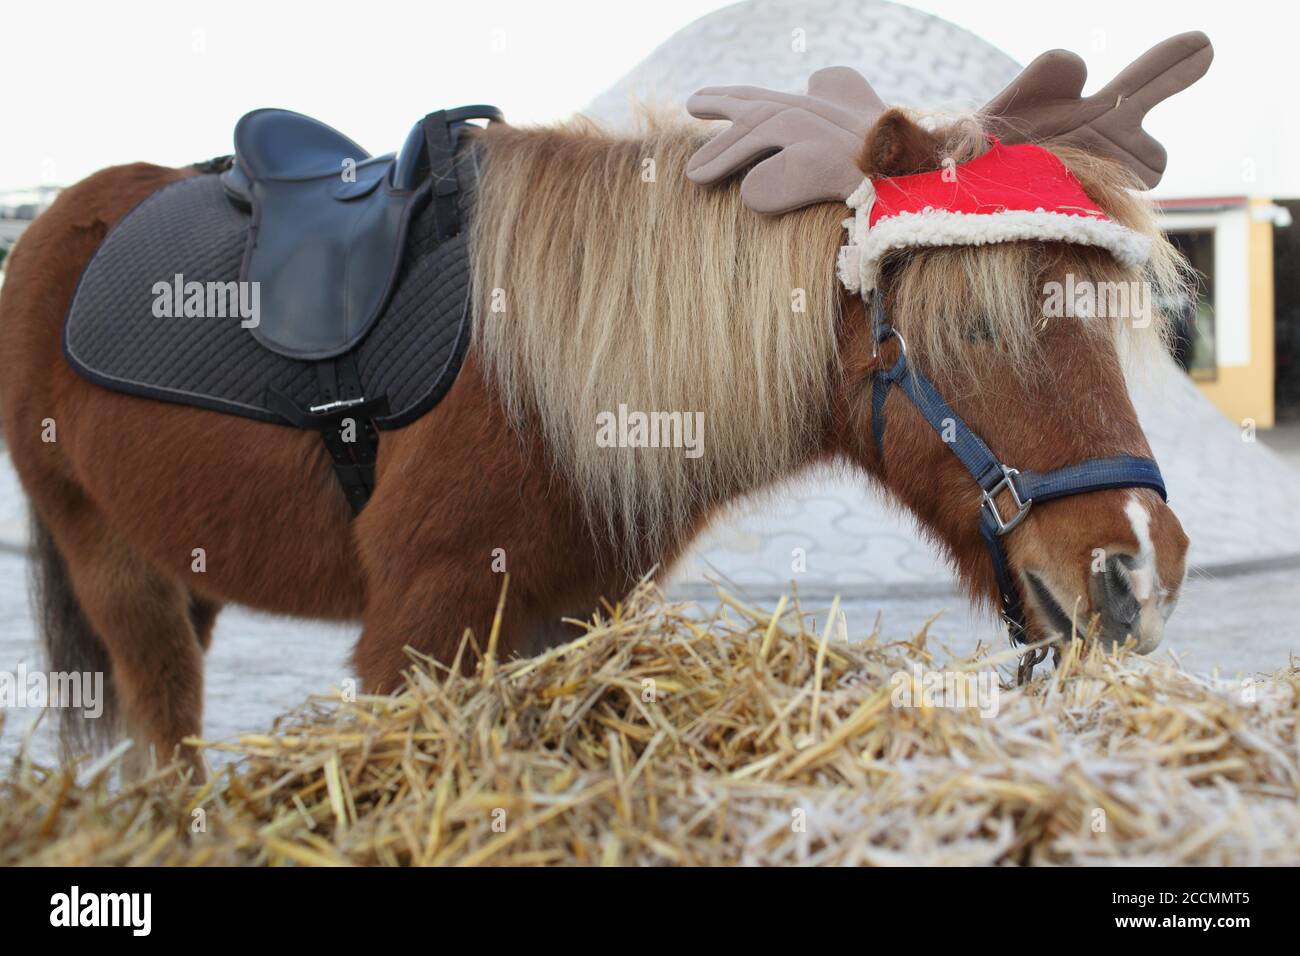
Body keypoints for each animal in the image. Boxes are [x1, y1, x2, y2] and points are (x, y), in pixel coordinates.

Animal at [0, 97, 1192, 774]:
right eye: (978, 325)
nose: (1140, 568)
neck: (542, 381)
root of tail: (60, 219)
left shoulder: (571, 618)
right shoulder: (417, 631)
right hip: (113, 569)